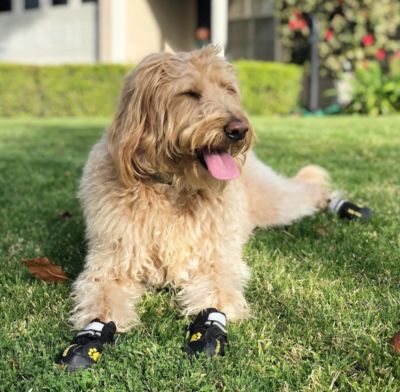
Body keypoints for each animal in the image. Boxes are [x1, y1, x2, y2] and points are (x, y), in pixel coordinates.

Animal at [57, 46, 330, 370]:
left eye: (228, 89)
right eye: (190, 93)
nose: (239, 129)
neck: (172, 187)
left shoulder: (215, 260)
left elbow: (217, 294)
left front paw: (212, 324)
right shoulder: (111, 263)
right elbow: (102, 298)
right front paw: (95, 331)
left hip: (274, 204)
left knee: (302, 191)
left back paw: (327, 194)